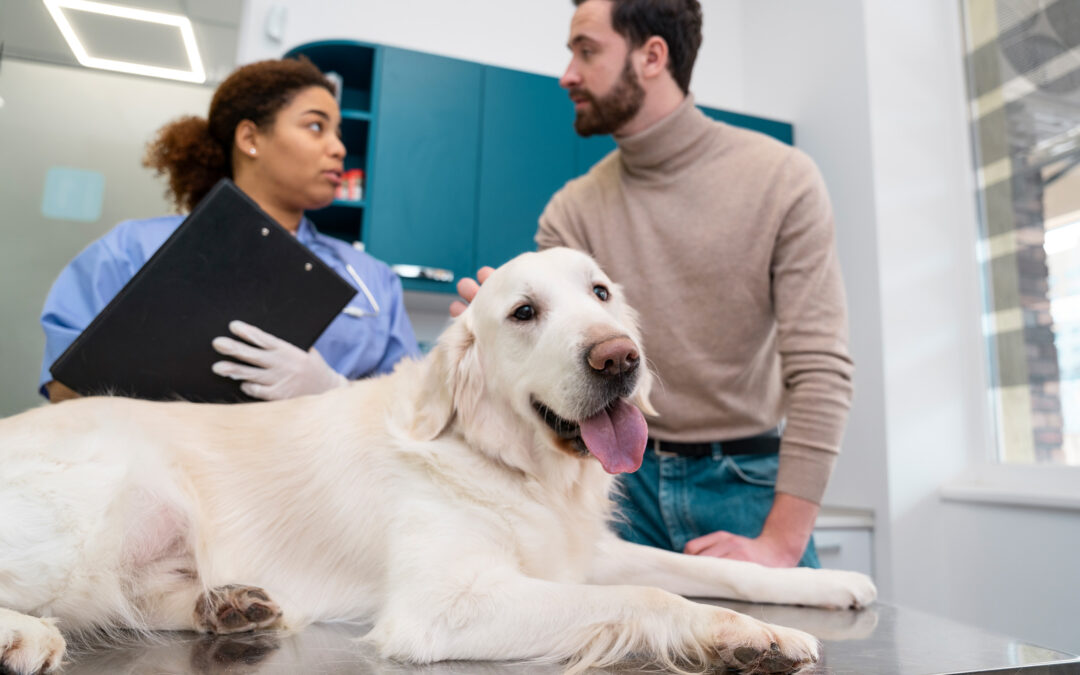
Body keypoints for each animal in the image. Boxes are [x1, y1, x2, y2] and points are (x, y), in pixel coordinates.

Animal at [0, 248, 872, 673]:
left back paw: (234, 604)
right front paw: (745, 637)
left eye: (600, 293)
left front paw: (822, 585)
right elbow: (652, 599)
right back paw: (28, 637)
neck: (508, 462)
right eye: (523, 312)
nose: (619, 357)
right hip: (100, 503)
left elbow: (716, 568)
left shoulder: (581, 553)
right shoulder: (445, 603)